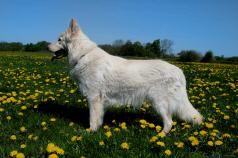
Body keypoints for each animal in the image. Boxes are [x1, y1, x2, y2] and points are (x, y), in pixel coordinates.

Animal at [48, 18, 203, 133]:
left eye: (59, 39)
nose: (46, 47)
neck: (83, 54)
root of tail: (179, 71)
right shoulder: (99, 100)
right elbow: (98, 118)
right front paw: (97, 129)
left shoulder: (93, 97)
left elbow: (92, 118)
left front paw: (90, 132)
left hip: (159, 102)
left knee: (169, 122)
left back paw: (160, 136)